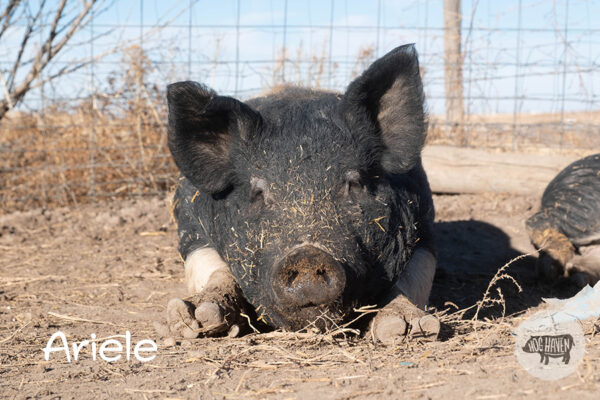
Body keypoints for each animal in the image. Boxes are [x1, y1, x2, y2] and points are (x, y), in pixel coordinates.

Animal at [162, 43, 438, 344]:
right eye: (258, 191)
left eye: (354, 183)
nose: (307, 256)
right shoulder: (191, 233)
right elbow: (216, 270)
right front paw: (196, 318)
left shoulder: (424, 230)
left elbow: (409, 281)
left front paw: (406, 328)